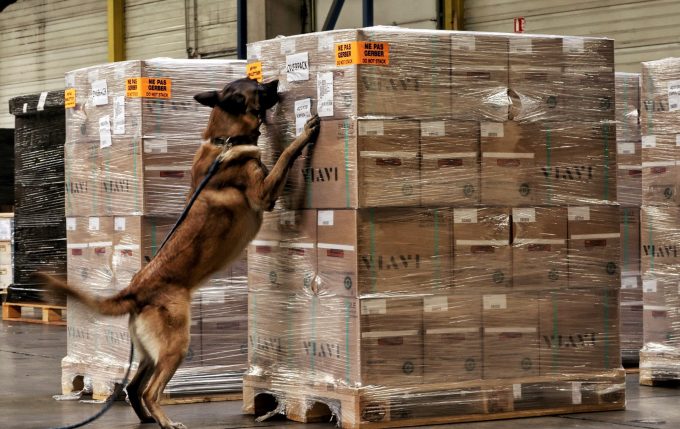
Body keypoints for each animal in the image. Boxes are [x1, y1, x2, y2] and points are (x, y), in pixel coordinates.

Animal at [43, 77, 322, 428]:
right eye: (258, 87)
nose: (274, 82)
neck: (225, 140)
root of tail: (135, 289)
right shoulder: (263, 193)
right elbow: (286, 154)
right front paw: (304, 133)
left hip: (151, 352)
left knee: (133, 387)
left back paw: (148, 419)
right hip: (177, 345)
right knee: (150, 390)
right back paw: (166, 421)